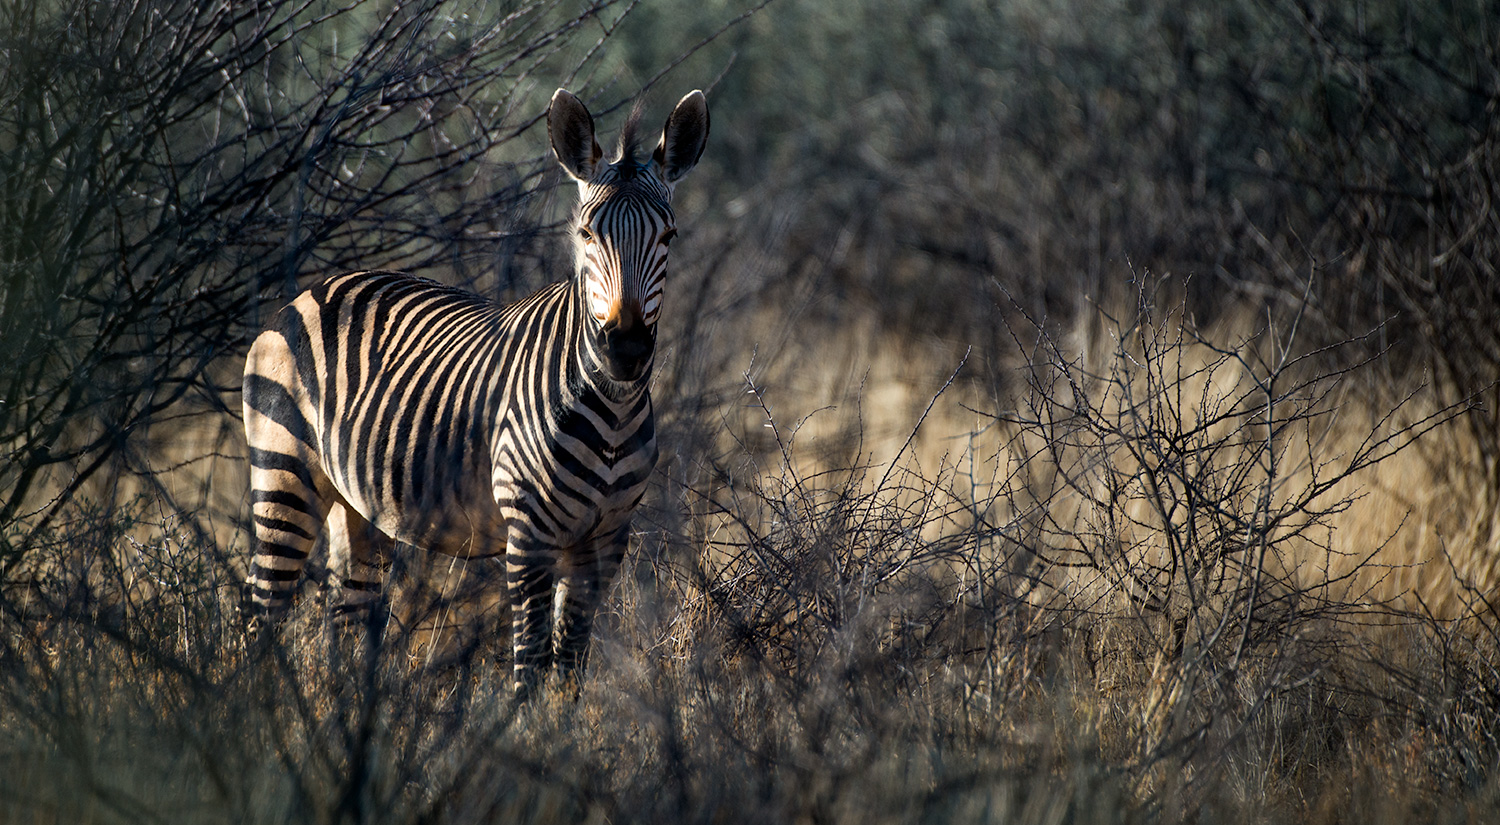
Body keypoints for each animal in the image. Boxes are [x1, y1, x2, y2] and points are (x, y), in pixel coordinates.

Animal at [241, 88, 709, 699]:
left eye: (669, 236)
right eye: (585, 235)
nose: (625, 349)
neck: (612, 409)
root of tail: (314, 289)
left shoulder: (606, 539)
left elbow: (570, 664)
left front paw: (564, 726)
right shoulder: (529, 534)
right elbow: (530, 662)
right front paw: (523, 724)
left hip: (358, 505)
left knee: (343, 616)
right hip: (284, 472)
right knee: (262, 610)